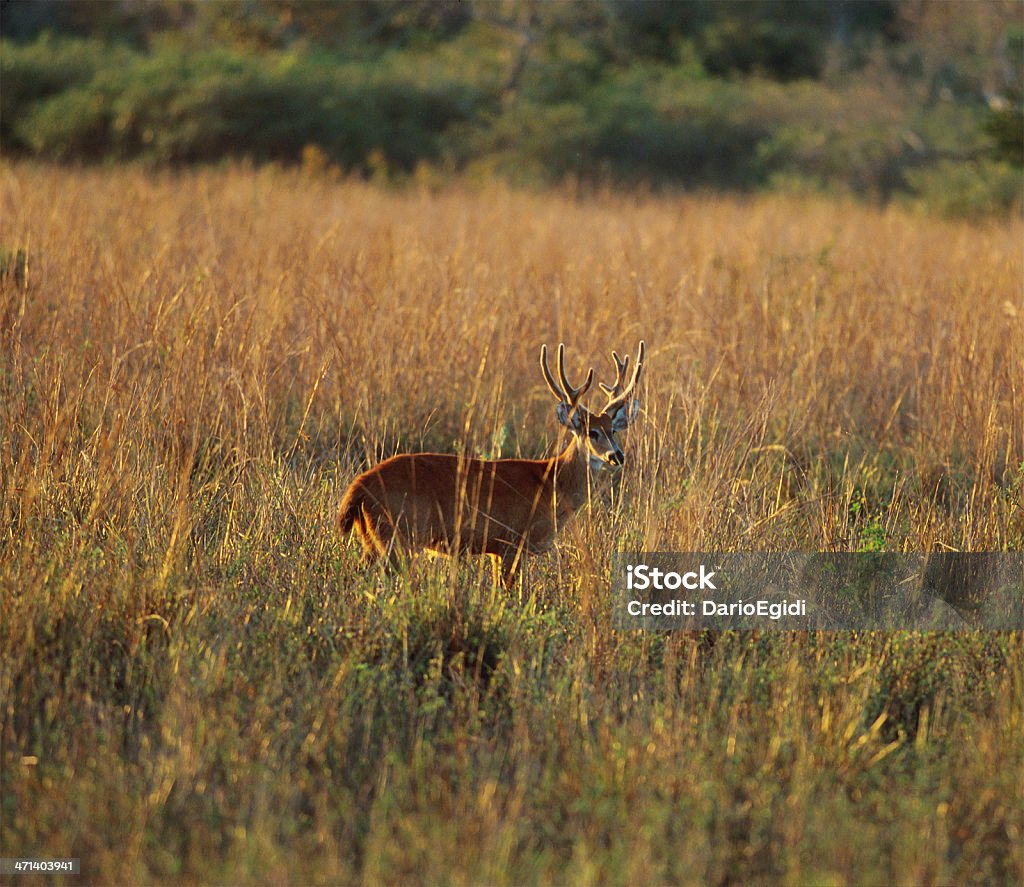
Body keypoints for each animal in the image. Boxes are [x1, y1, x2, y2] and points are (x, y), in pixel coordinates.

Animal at [335, 342, 643, 585]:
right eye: (592, 432)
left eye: (613, 430)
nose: (617, 455)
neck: (551, 483)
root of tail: (357, 488)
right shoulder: (511, 542)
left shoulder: (497, 549)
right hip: (396, 535)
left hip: (373, 538)